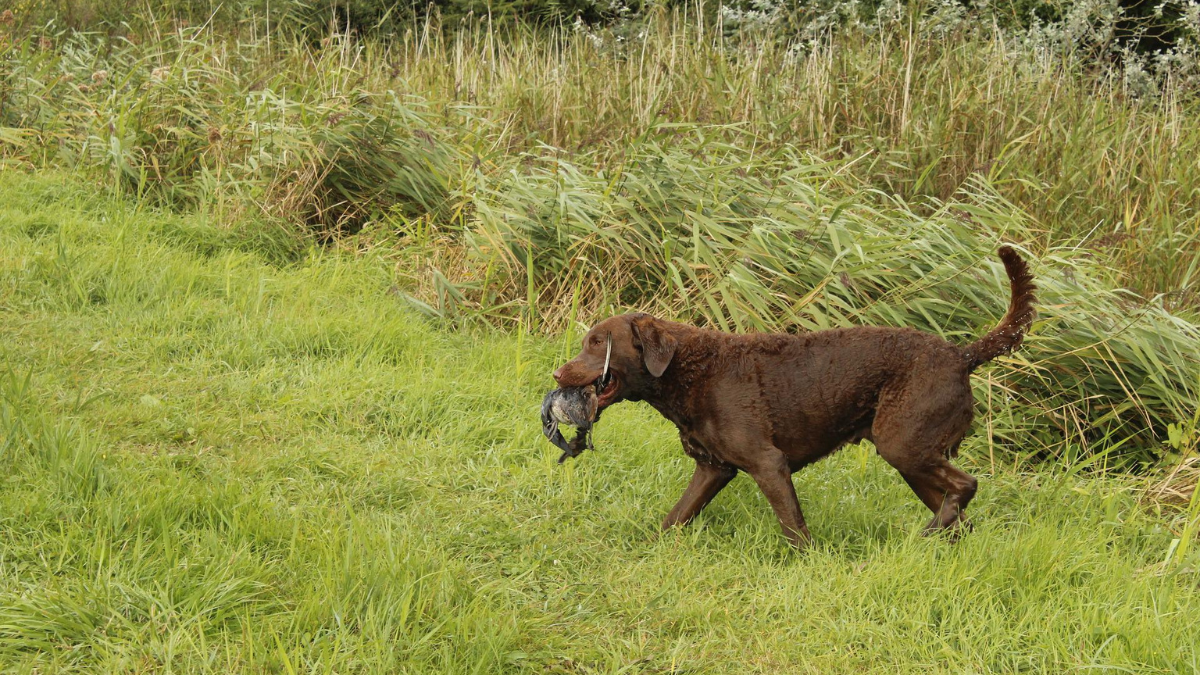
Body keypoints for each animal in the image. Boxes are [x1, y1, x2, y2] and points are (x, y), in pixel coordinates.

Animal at [549, 246, 1032, 547]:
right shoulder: (712, 469)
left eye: (597, 342)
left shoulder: (769, 464)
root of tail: (960, 354)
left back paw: (926, 534)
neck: (688, 371)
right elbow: (676, 517)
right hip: (914, 458)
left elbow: (795, 528)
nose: (556, 372)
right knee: (960, 514)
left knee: (967, 486)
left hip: (904, 445)